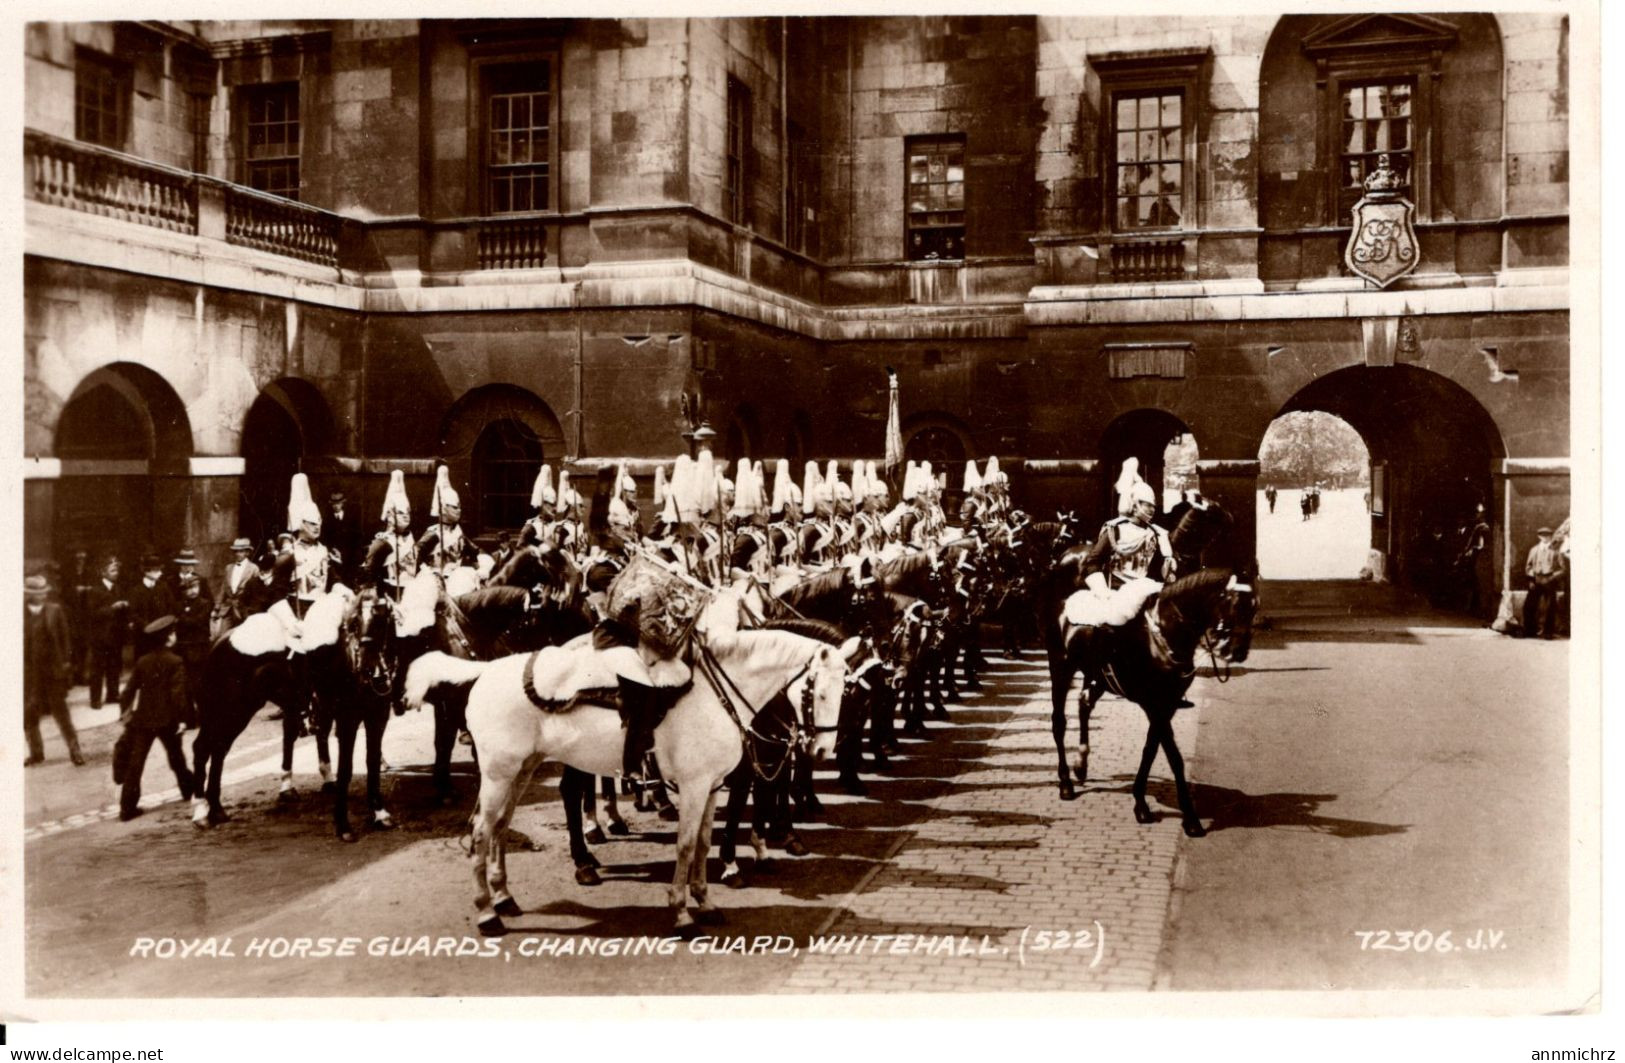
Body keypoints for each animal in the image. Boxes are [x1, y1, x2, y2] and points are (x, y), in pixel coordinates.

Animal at [403, 624, 851, 936]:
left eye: (845, 690)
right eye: (817, 693)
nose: (822, 751)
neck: (715, 695)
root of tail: (487, 670)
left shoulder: (710, 788)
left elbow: (704, 844)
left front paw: (706, 903)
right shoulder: (693, 787)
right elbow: (686, 846)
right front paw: (682, 914)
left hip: (521, 769)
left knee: (498, 827)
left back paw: (504, 898)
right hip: (499, 773)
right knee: (482, 832)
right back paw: (486, 912)